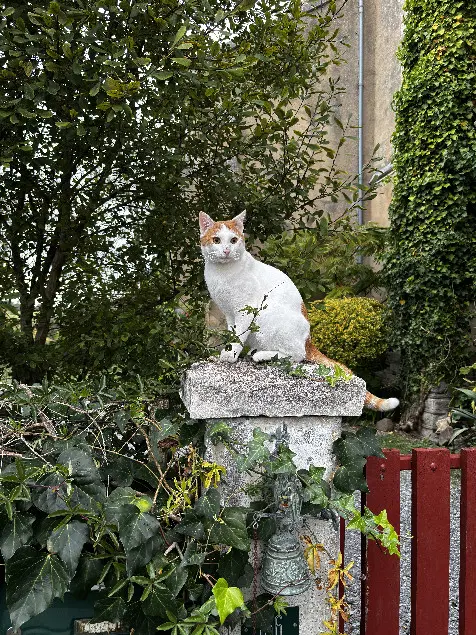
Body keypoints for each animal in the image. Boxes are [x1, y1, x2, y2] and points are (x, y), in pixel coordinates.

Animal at [199, 211, 400, 414]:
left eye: (233, 240)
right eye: (216, 240)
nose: (226, 250)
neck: (222, 274)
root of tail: (308, 339)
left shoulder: (245, 310)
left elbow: (239, 335)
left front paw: (230, 355)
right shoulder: (229, 313)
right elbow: (232, 333)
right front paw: (228, 351)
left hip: (267, 315)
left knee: (297, 355)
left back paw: (262, 355)